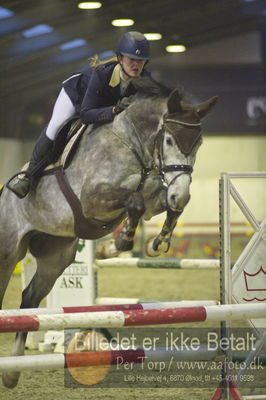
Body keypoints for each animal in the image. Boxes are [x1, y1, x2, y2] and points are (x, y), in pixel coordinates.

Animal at [0, 80, 216, 388]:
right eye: (169, 141)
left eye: (198, 143)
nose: (180, 192)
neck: (135, 144)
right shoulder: (93, 199)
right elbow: (134, 203)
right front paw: (123, 239)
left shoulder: (153, 198)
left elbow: (165, 206)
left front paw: (153, 243)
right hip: (8, 253)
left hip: (56, 256)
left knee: (30, 299)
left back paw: (12, 372)